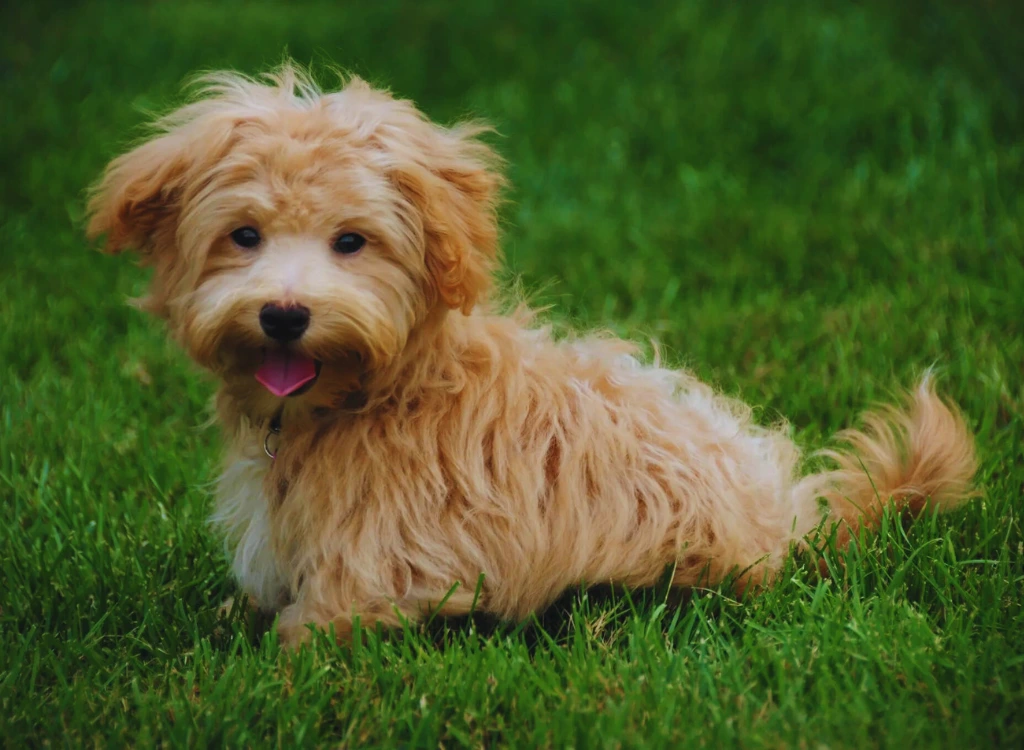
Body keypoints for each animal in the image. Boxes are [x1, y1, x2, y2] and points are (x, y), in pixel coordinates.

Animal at [88, 63, 974, 643]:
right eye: (244, 235)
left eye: (352, 241)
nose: (283, 315)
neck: (381, 389)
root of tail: (789, 522)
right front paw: (230, 614)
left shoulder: (385, 563)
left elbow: (325, 623)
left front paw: (273, 653)